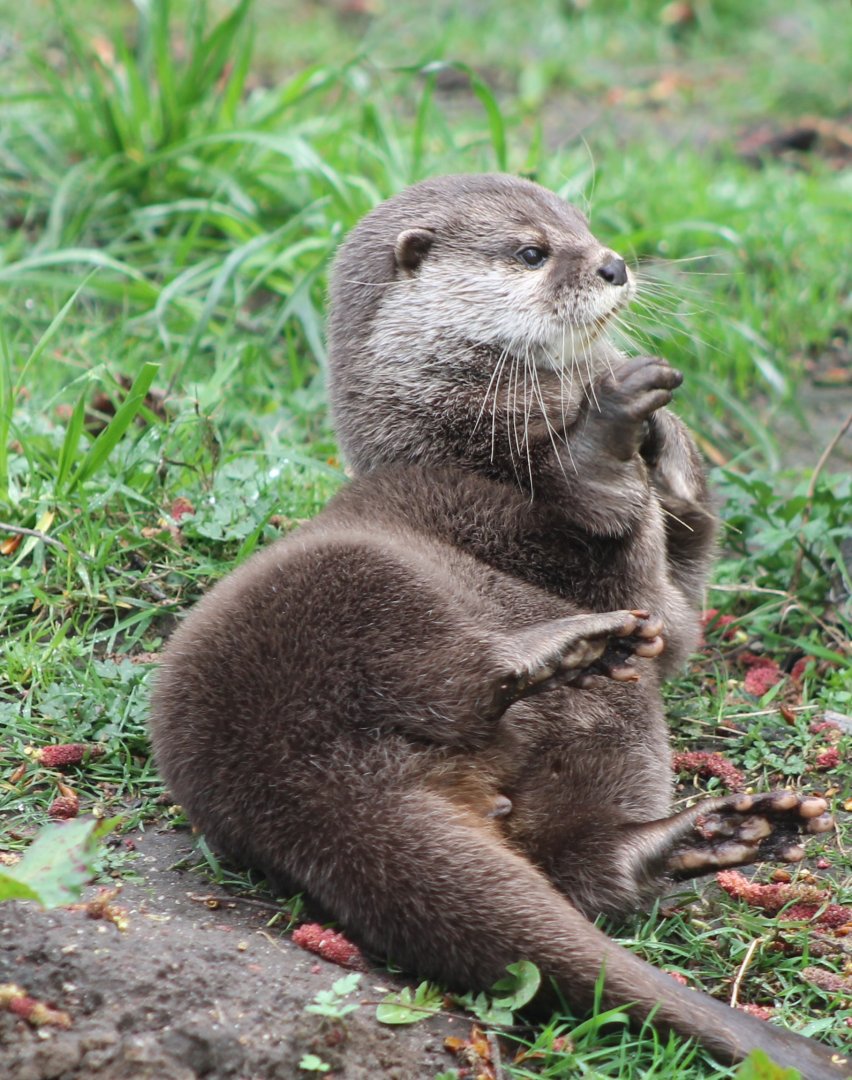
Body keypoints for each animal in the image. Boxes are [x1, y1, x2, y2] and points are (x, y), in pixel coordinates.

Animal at [150, 174, 845, 1077]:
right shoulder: (547, 541)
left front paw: (668, 439)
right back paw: (564, 645)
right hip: (341, 587)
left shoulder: (672, 600)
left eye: (585, 228)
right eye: (532, 251)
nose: (614, 265)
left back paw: (718, 831)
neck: (475, 451)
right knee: (454, 680)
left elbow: (686, 591)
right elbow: (620, 547)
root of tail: (291, 784)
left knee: (580, 865)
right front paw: (610, 433)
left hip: (598, 733)